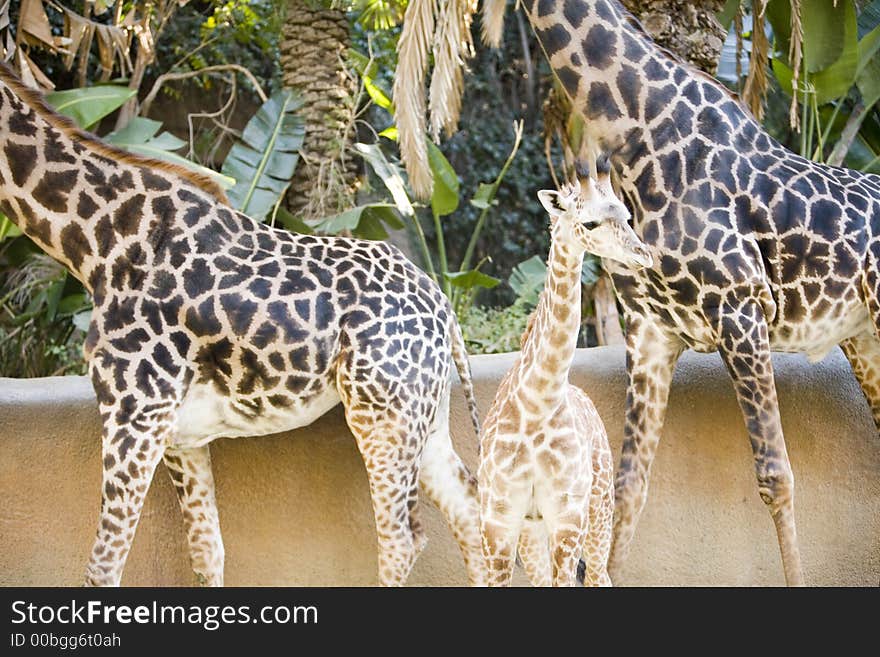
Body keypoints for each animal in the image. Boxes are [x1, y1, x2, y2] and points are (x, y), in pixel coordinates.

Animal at [0, 62, 488, 584]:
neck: (100, 245)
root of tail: (443, 307)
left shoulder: (135, 409)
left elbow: (103, 565)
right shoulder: (179, 434)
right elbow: (207, 551)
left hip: (382, 410)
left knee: (402, 539)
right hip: (424, 415)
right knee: (470, 511)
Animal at [478, 161, 648, 588]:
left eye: (626, 216)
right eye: (589, 223)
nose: (644, 255)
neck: (539, 401)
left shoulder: (568, 518)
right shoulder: (497, 521)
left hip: (598, 509)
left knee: (599, 576)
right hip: (533, 530)